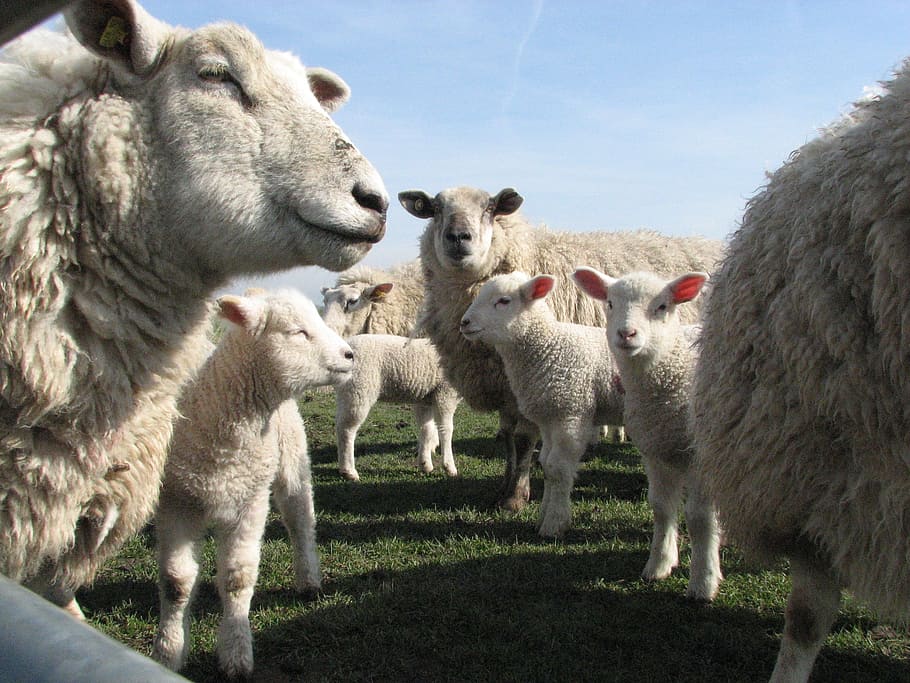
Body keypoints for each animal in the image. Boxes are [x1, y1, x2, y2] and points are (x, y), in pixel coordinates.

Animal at [153, 288, 351, 679]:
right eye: (298, 332)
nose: (350, 354)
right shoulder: (175, 500)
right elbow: (176, 582)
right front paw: (168, 651)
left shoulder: (251, 500)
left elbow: (238, 578)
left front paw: (236, 652)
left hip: (290, 458)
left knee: (300, 520)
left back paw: (309, 580)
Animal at [333, 334, 460, 481]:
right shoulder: (445, 394)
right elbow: (446, 430)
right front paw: (449, 467)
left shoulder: (425, 399)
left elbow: (426, 430)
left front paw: (425, 464)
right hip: (359, 388)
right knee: (347, 429)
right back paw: (349, 471)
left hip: (345, 392)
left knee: (340, 424)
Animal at [460, 272, 624, 537]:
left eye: (503, 301)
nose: (464, 323)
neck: (549, 347)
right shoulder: (549, 419)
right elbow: (546, 465)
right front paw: (543, 517)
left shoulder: (571, 414)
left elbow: (558, 468)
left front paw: (554, 525)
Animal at [573, 268, 721, 601]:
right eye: (610, 303)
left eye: (662, 306)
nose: (626, 334)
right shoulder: (655, 452)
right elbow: (661, 508)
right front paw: (658, 565)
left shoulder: (700, 458)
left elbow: (699, 518)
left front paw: (703, 582)